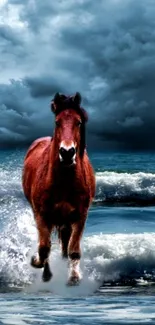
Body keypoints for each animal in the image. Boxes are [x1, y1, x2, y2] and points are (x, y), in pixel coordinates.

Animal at [22, 91, 95, 284]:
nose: (67, 153)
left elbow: (73, 250)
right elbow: (44, 248)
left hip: (66, 220)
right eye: (57, 122)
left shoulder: (80, 216)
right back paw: (46, 274)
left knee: (65, 242)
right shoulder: (41, 215)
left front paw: (74, 277)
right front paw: (35, 262)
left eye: (78, 122)